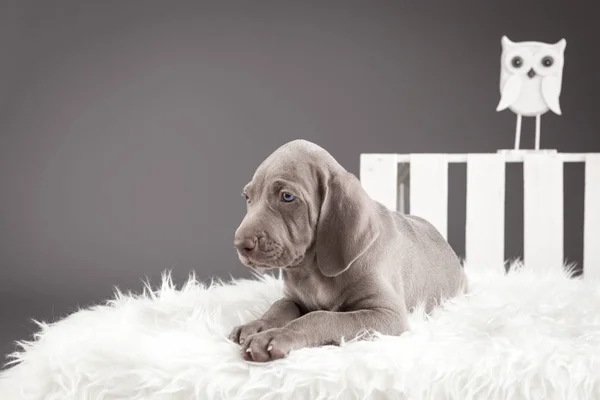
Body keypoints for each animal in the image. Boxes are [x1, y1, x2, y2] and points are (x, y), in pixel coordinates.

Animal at [227, 140, 466, 362]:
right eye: (248, 197)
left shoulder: (388, 314)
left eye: (287, 197)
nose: (240, 244)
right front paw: (258, 324)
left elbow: (322, 317)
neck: (313, 269)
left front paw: (277, 335)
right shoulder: (294, 298)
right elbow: (280, 305)